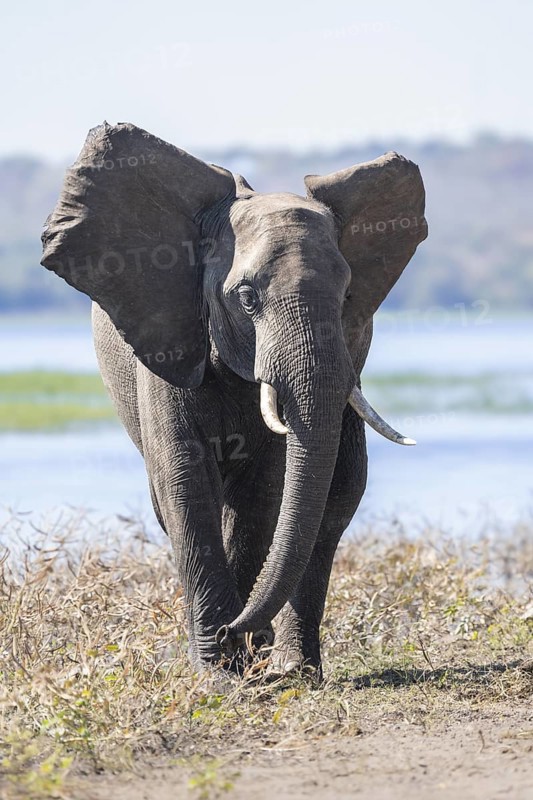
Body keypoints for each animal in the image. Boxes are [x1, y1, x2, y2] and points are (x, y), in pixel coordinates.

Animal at [41, 122, 427, 678]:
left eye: (347, 296)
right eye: (246, 298)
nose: (234, 633)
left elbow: (262, 490)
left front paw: (237, 656)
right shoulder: (171, 338)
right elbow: (184, 477)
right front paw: (219, 671)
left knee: (338, 495)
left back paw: (295, 669)